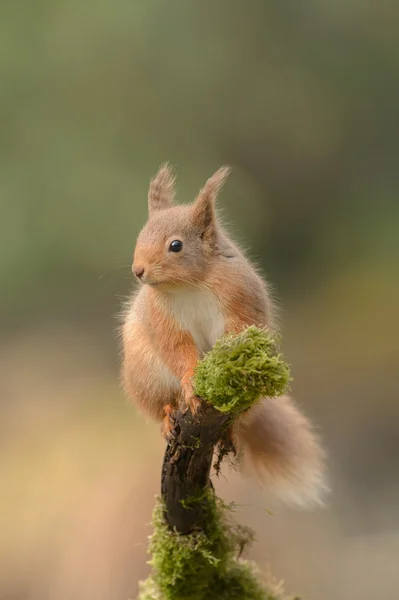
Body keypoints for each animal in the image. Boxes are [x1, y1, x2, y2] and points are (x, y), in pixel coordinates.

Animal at [122, 163, 328, 506]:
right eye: (139, 236)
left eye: (175, 245)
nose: (138, 271)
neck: (189, 285)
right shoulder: (162, 319)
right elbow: (176, 349)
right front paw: (191, 382)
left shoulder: (239, 299)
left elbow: (238, 332)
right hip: (146, 376)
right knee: (161, 402)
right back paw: (168, 414)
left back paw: (229, 431)